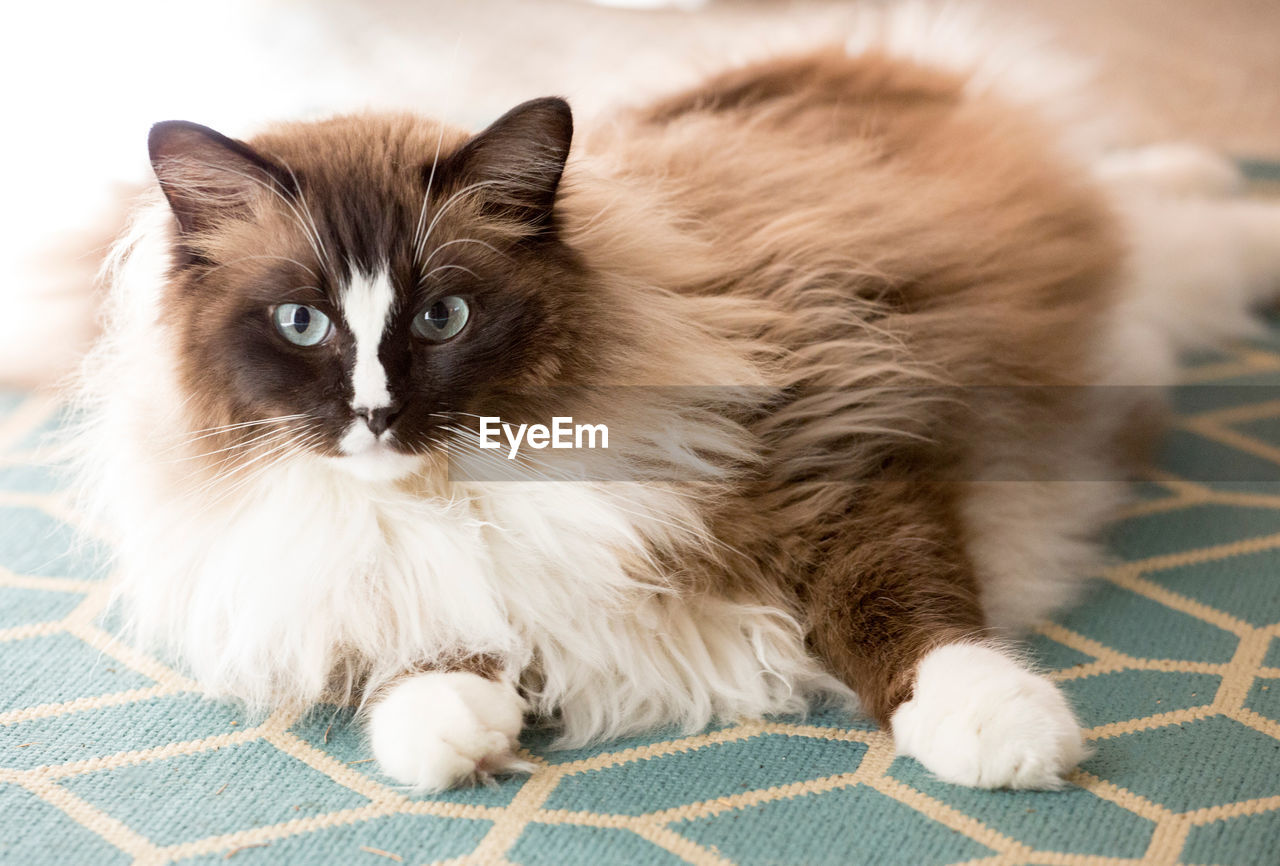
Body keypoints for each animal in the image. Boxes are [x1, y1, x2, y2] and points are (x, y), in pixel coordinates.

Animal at [67, 23, 1280, 787]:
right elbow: (428, 653)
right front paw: (455, 737)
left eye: (442, 317)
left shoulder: (838, 449)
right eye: (302, 324)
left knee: (1180, 214)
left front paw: (1005, 733)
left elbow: (909, 617)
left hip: (1145, 283)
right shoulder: (396, 575)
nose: (372, 413)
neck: (467, 483)